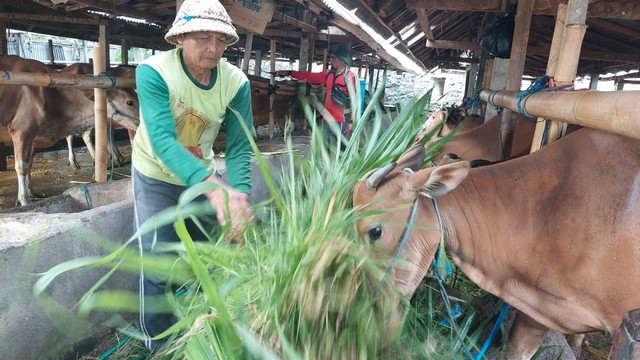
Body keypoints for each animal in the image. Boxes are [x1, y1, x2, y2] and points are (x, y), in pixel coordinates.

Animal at [0, 54, 139, 204]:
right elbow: (21, 166)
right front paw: (24, 199)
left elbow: (29, 163)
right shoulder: (21, 131)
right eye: (130, 102)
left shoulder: (33, 136)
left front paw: (31, 192)